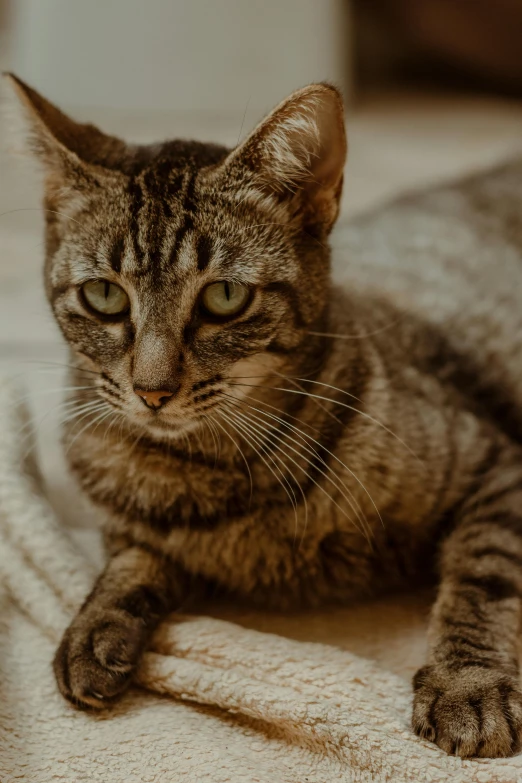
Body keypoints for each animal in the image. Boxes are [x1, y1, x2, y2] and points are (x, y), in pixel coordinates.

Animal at [6, 73, 520, 760]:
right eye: (104, 295)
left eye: (225, 296)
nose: (151, 390)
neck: (211, 472)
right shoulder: (134, 527)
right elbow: (133, 559)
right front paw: (95, 625)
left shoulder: (497, 466)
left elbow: (480, 577)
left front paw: (468, 683)